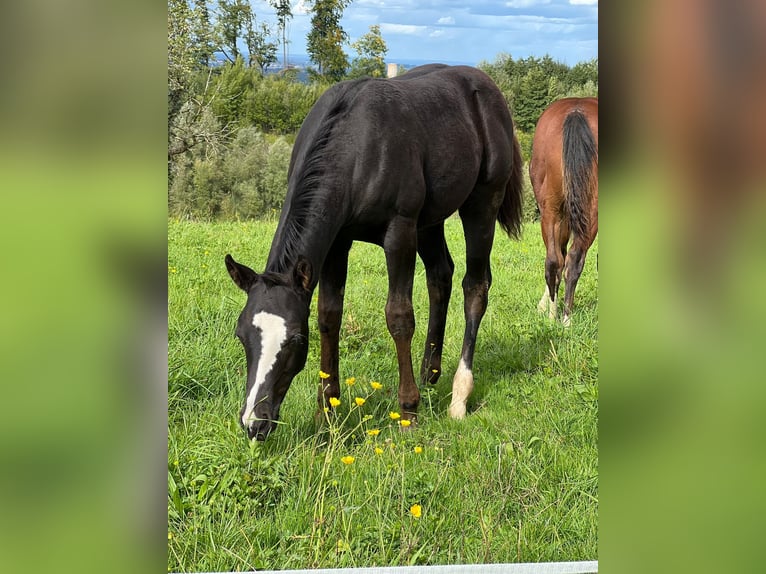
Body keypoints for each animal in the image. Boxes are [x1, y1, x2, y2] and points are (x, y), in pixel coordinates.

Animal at [225, 64, 525, 440]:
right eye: (241, 334)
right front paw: (326, 412)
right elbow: (329, 316)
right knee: (440, 276)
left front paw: (409, 410)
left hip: (481, 204)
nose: (254, 423)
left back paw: (458, 396)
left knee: (475, 287)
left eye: (295, 338)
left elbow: (399, 316)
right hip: (430, 220)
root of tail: (490, 89)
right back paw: (429, 372)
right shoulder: (337, 241)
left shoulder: (399, 232)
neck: (356, 146)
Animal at [529, 97, 598, 327]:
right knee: (573, 260)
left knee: (554, 260)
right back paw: (566, 318)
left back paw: (553, 316)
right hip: (589, 211)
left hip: (551, 210)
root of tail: (576, 112)